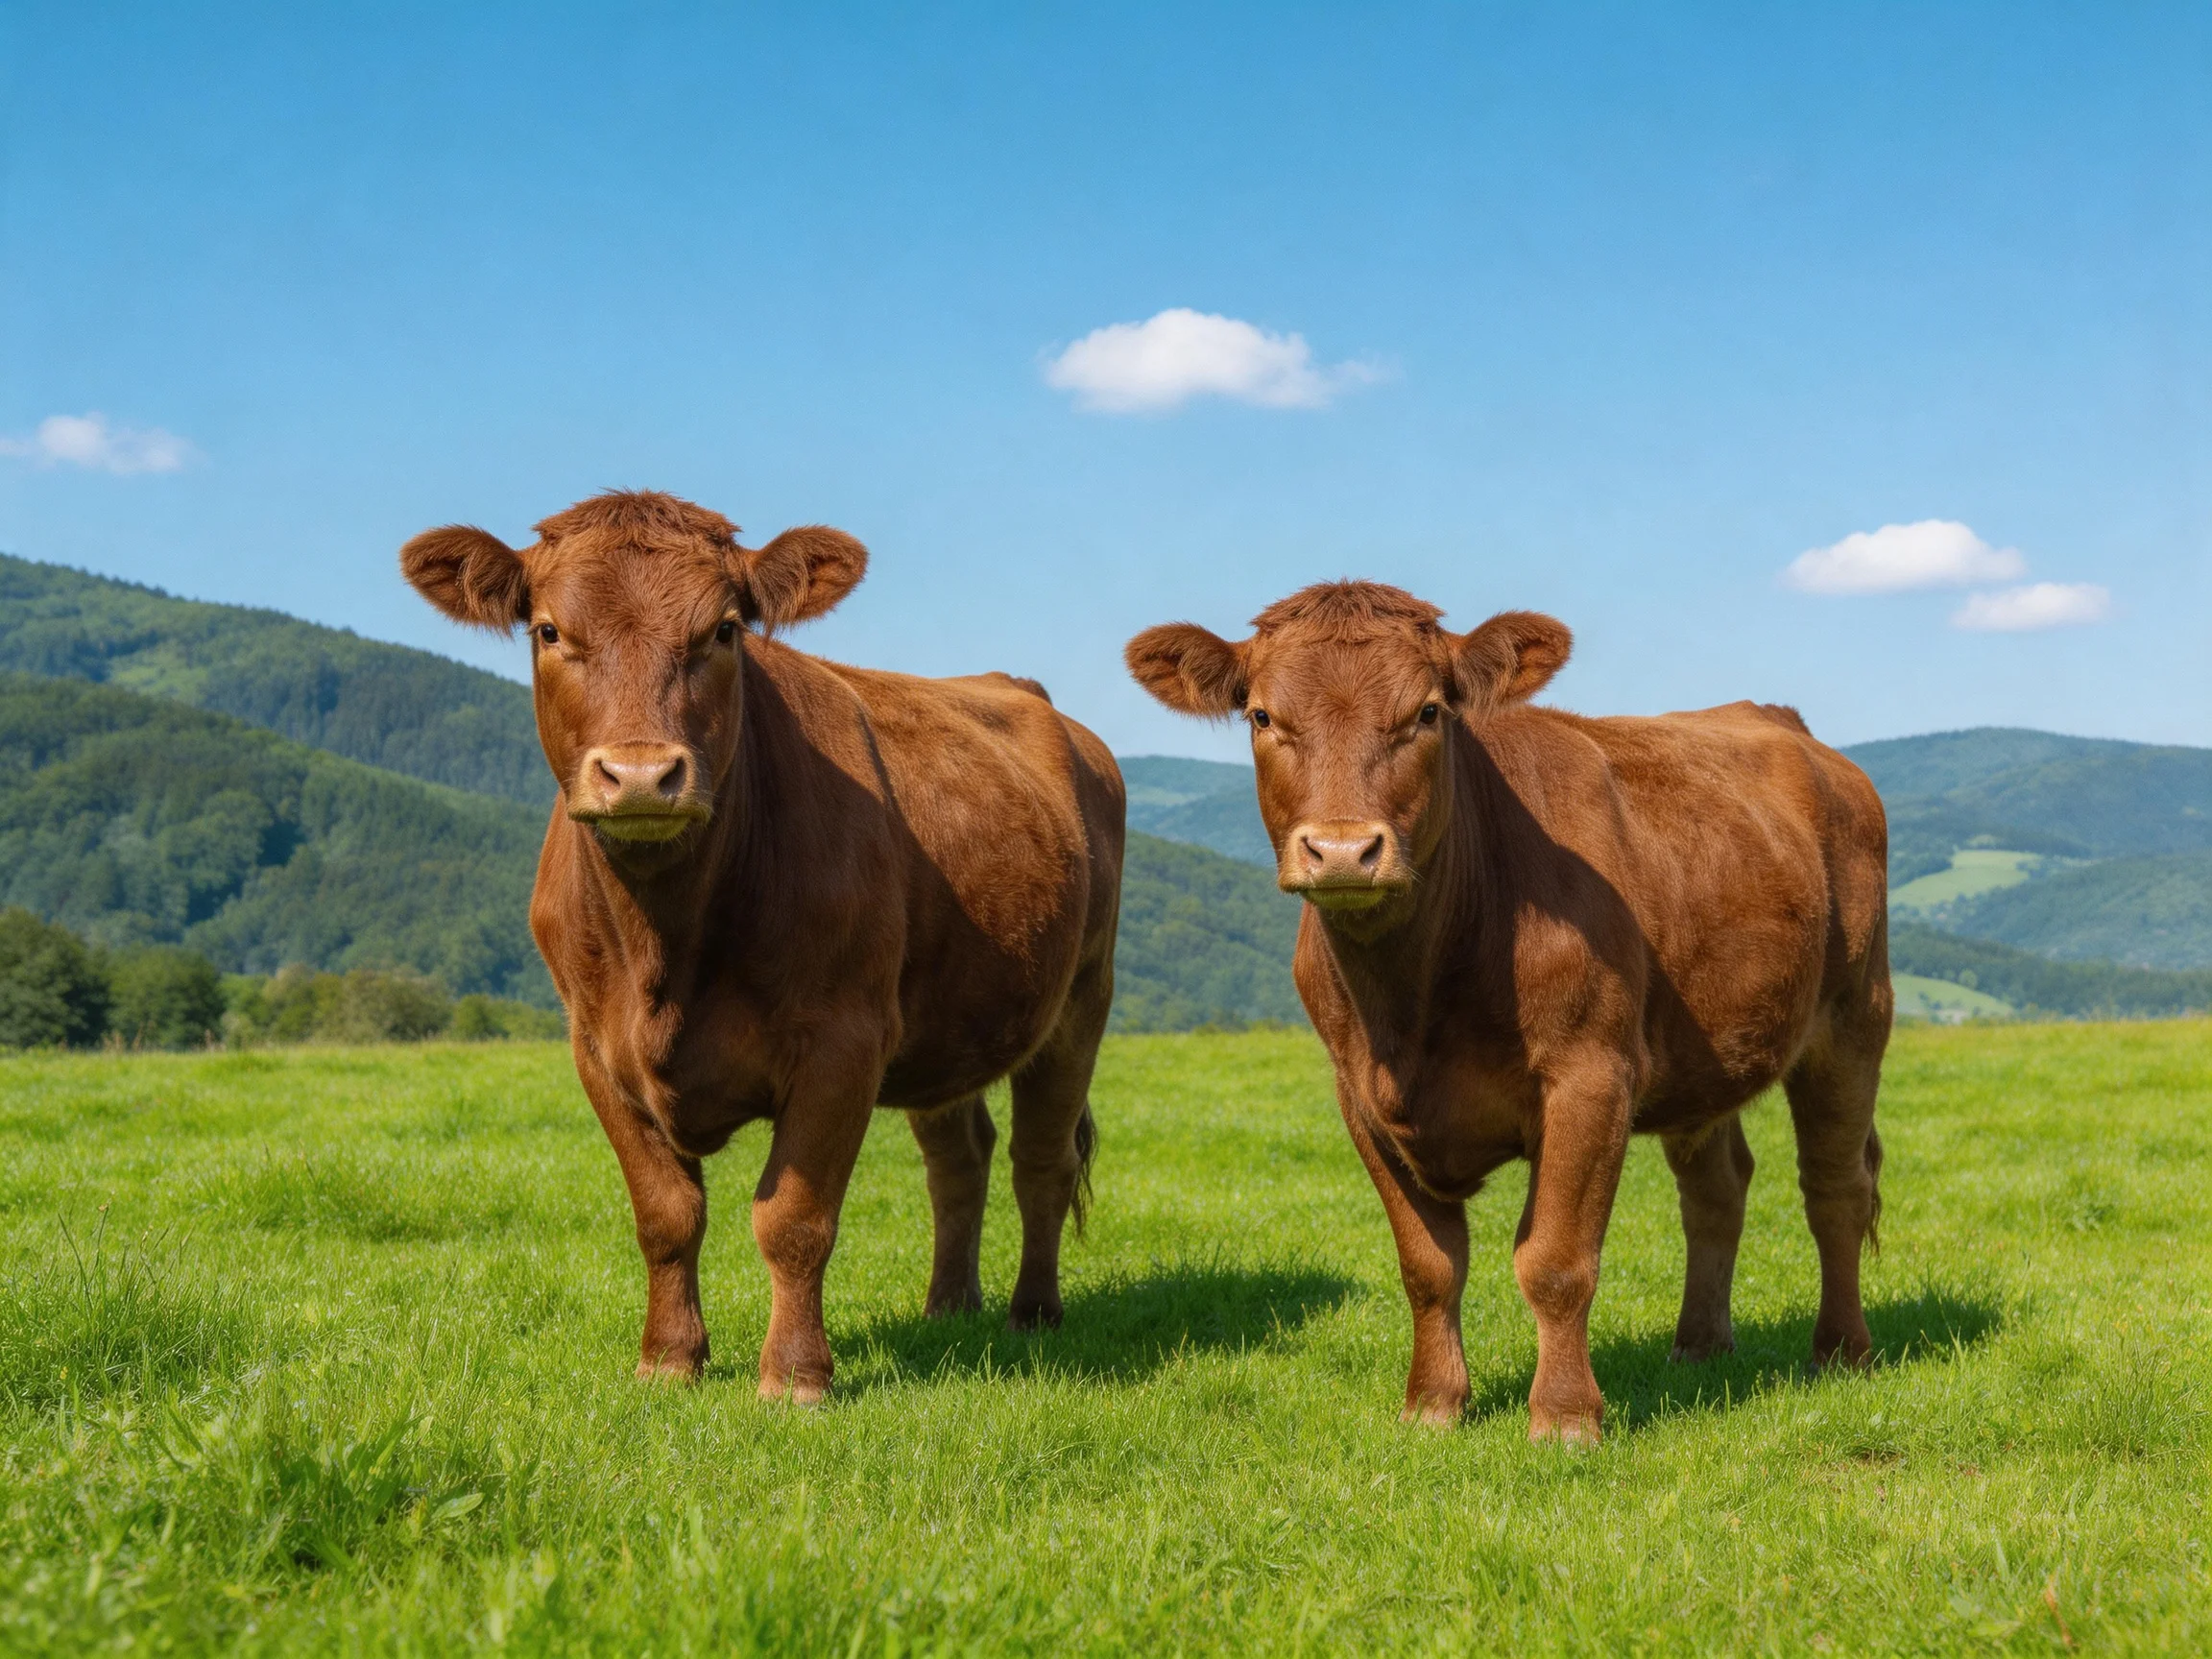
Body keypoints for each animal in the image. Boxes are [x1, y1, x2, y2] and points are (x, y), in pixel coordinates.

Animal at [401, 491, 1124, 1401]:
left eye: (723, 630)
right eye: (549, 630)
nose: (641, 776)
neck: (665, 944)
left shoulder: (844, 1042)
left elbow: (793, 1219)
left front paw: (795, 1375)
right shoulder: (595, 1048)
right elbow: (666, 1215)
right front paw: (668, 1359)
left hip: (1081, 1000)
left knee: (1042, 1159)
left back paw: (1033, 1312)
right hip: (950, 1022)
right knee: (959, 1158)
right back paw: (948, 1307)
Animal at [1126, 582, 1889, 1443]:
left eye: (1428, 712)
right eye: (1261, 715)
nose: (1343, 850)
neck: (1409, 1003)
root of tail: (1785, 723)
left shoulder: (1591, 1077)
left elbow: (1555, 1260)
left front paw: (1564, 1417)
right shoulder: (1359, 1097)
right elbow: (1428, 1266)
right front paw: (1432, 1404)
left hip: (1854, 1016)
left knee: (1835, 1187)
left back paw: (1842, 1351)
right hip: (1710, 1051)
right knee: (1717, 1190)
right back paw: (1698, 1346)